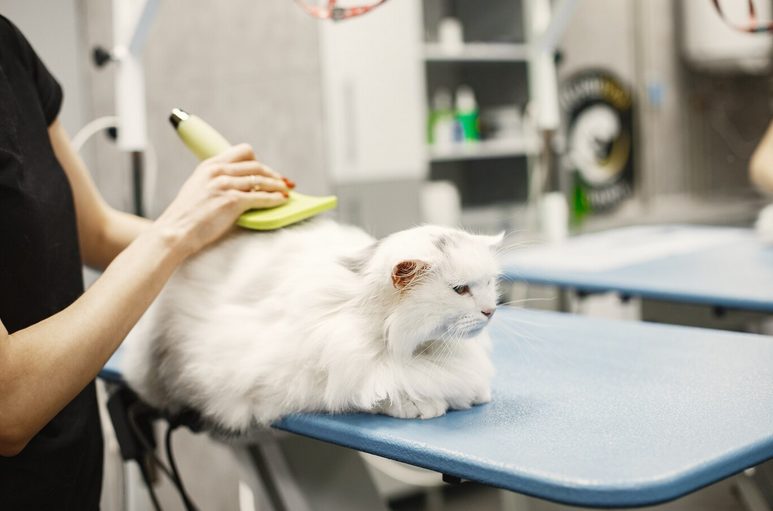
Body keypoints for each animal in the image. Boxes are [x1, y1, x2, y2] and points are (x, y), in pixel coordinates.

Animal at [122, 219, 500, 432]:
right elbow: (374, 390)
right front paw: (420, 404)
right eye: (460, 290)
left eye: (489, 283)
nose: (490, 311)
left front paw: (470, 394)